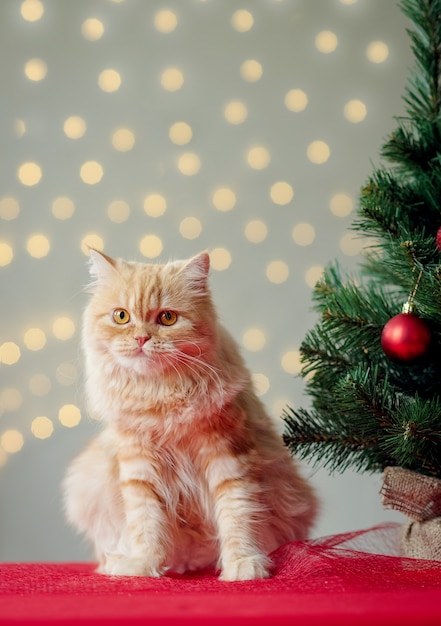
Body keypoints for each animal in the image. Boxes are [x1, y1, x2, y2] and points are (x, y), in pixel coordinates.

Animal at [62, 250, 316, 580]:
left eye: (167, 318)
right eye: (121, 316)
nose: (141, 338)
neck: (160, 395)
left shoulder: (228, 458)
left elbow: (237, 516)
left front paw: (242, 565)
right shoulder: (139, 467)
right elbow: (145, 523)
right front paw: (141, 565)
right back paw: (120, 562)